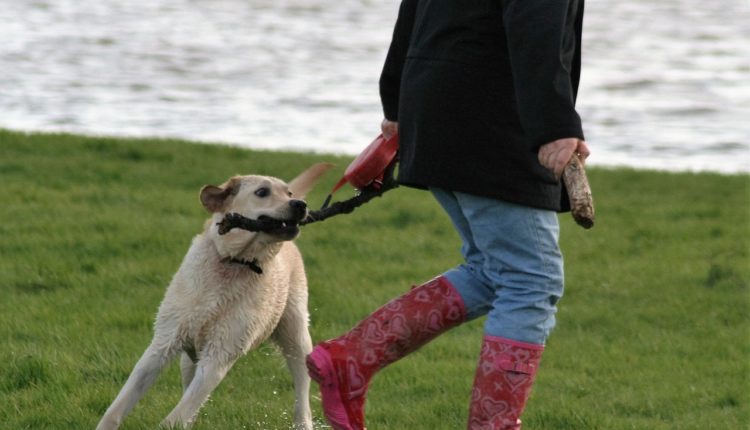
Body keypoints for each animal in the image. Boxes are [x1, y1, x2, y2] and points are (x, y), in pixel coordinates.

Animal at [98, 163, 334, 428]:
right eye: (262, 192)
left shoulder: (218, 355)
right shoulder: (163, 343)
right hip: (188, 359)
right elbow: (119, 404)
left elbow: (176, 416)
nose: (300, 204)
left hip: (296, 335)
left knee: (302, 393)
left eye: (289, 193)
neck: (233, 262)